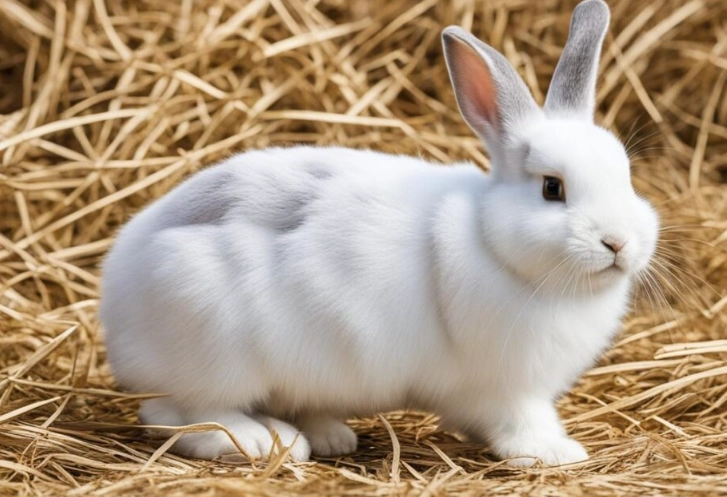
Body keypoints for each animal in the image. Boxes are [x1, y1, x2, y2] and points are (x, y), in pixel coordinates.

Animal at [100, 0, 658, 466]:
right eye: (551, 188)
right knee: (181, 416)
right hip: (214, 350)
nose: (618, 242)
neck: (492, 243)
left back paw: (329, 434)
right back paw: (267, 442)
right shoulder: (507, 389)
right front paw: (556, 452)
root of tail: (116, 296)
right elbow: (522, 421)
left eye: (627, 177)